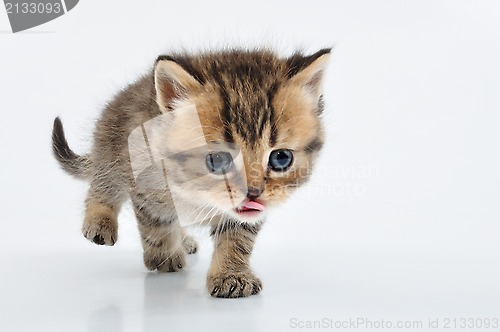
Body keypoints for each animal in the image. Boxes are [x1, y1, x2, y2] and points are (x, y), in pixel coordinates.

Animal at [52, 48, 330, 298]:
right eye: (217, 160)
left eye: (281, 158)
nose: (253, 193)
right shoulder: (144, 182)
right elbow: (156, 224)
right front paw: (163, 257)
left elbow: (237, 237)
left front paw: (231, 275)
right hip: (110, 147)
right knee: (103, 184)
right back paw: (100, 222)